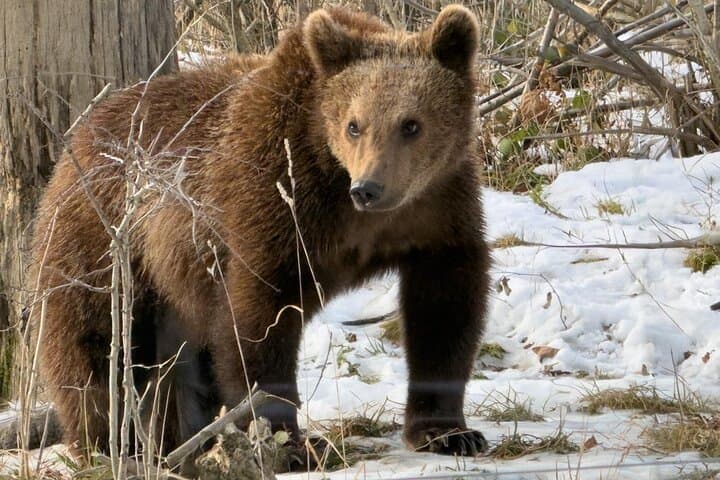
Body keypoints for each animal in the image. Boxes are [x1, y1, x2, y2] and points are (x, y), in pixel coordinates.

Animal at [26, 4, 490, 459]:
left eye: (411, 124)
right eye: (354, 124)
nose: (369, 188)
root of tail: (78, 136)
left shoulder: (437, 213)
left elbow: (445, 310)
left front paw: (448, 432)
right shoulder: (274, 201)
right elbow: (259, 318)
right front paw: (288, 440)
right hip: (105, 239)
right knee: (97, 339)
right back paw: (106, 441)